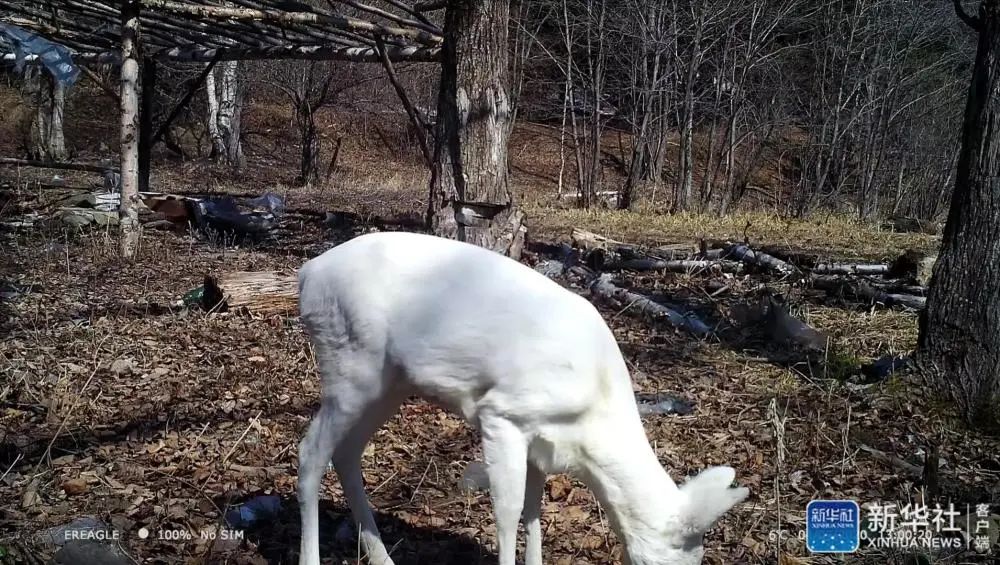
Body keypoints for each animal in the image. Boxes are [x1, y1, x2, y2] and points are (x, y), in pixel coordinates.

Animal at [292, 230, 748, 564]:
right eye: (685, 557)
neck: (592, 426)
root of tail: (307, 273)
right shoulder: (502, 414)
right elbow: (508, 512)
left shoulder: (542, 443)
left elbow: (534, 511)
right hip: (349, 361)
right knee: (311, 450)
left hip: (389, 382)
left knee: (345, 453)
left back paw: (382, 557)